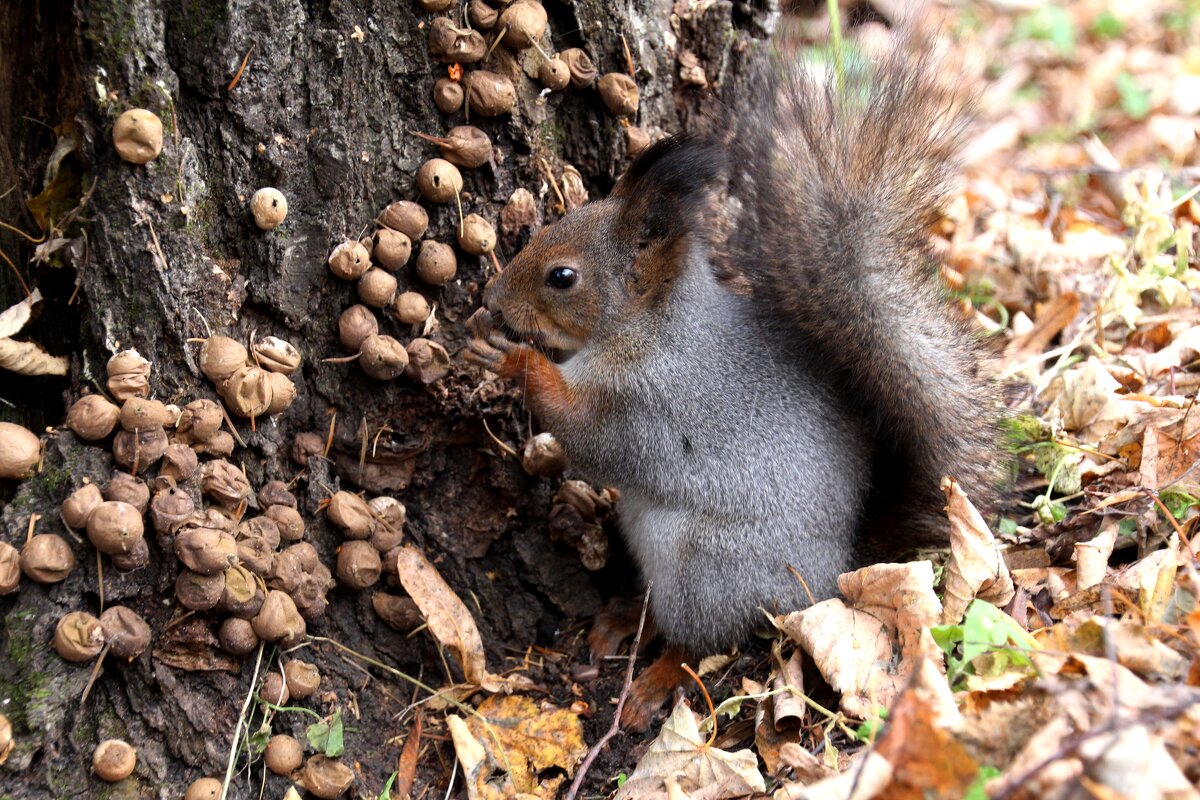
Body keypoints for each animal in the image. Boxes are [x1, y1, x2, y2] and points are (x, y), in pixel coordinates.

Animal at [463, 42, 998, 734]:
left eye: (562, 276)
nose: (492, 298)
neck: (652, 327)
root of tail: (834, 569)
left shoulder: (655, 403)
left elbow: (595, 438)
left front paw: (515, 362)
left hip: (709, 568)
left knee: (701, 641)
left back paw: (653, 682)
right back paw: (620, 619)